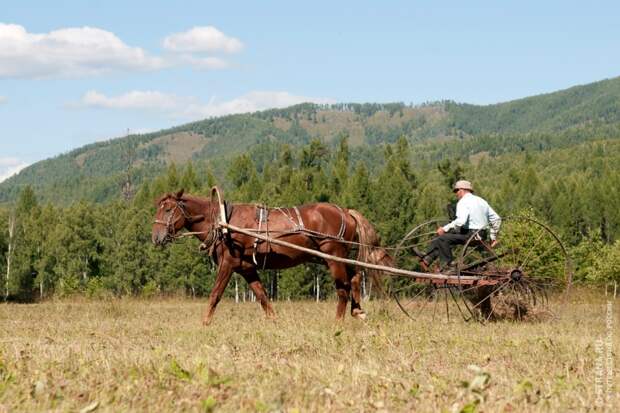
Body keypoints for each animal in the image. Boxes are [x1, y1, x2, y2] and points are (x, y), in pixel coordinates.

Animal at [151, 187, 392, 326]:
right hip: (332, 258)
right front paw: (275, 322)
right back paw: (358, 311)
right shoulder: (247, 267)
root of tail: (345, 211)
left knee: (343, 288)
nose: (156, 237)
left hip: (333, 256)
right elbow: (262, 296)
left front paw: (205, 323)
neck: (223, 223)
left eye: (168, 209)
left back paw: (338, 323)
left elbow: (215, 294)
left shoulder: (228, 263)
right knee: (355, 276)